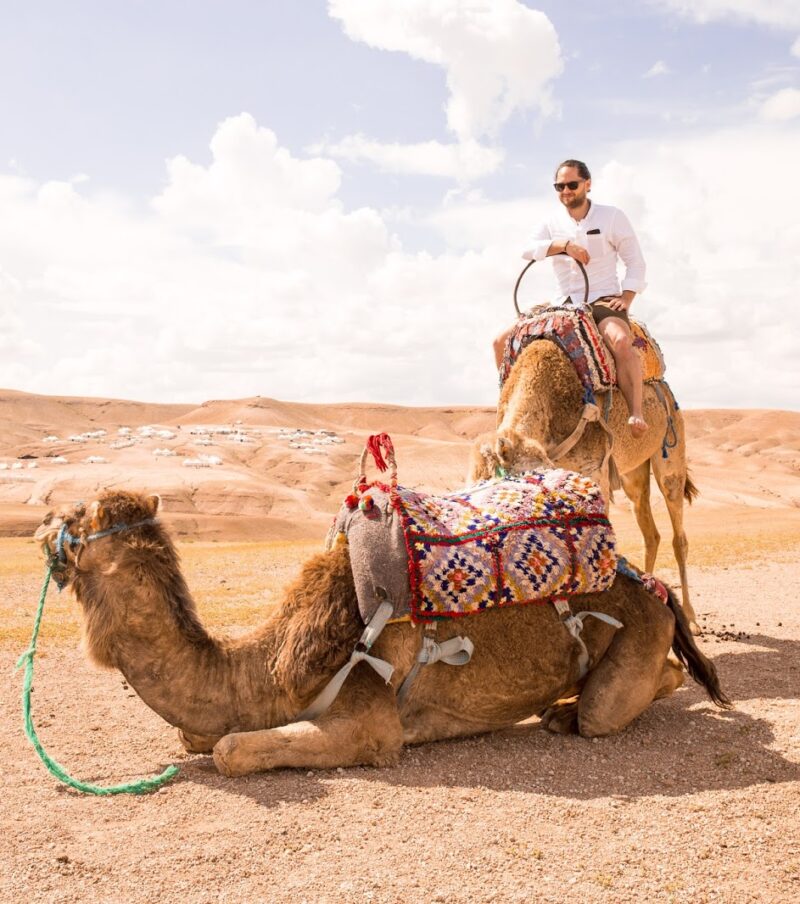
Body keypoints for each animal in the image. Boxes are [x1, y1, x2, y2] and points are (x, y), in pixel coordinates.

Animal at [35, 489, 728, 777]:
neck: (267, 667)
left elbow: (231, 750)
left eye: (77, 514)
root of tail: (651, 585)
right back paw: (559, 707)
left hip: (636, 641)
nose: (40, 523)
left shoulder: (369, 723)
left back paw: (567, 712)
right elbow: (196, 734)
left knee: (612, 706)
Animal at [469, 340, 700, 633]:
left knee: (678, 533)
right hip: (633, 473)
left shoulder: (595, 469)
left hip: (671, 449)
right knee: (650, 531)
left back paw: (691, 618)